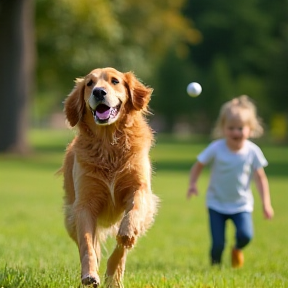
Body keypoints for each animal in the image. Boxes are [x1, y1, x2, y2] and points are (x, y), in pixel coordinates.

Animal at [59, 68, 159, 288]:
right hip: (70, 216)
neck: (108, 144)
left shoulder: (140, 188)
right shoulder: (84, 204)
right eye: (89, 83)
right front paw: (90, 274)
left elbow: (130, 225)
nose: (99, 92)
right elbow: (87, 245)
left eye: (115, 81)